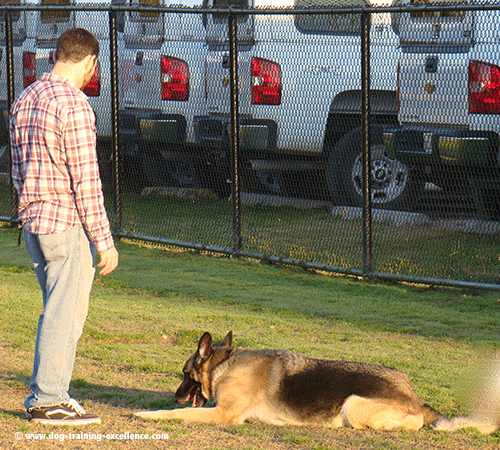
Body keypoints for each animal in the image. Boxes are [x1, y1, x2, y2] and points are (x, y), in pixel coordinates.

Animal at [134, 330, 500, 432]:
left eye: (185, 375)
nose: (176, 395)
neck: (226, 364)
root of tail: (414, 395)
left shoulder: (222, 413)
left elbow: (178, 415)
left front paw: (148, 413)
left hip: (354, 404)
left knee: (409, 424)